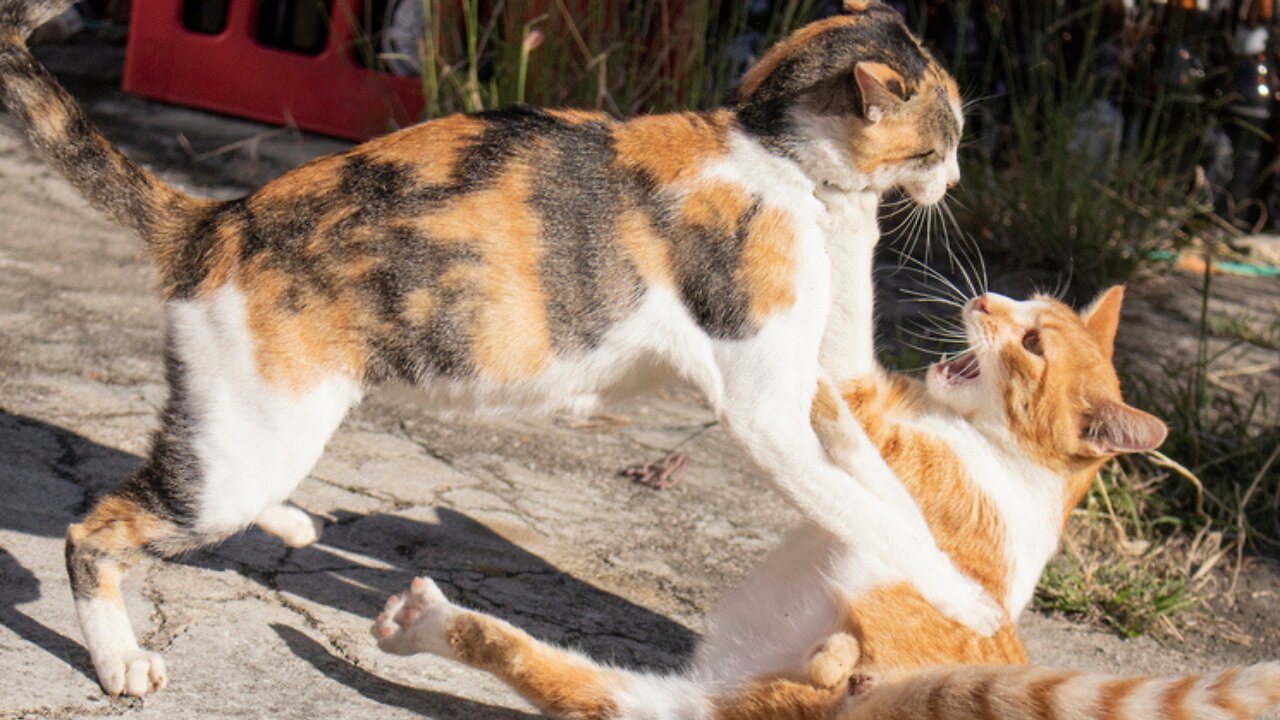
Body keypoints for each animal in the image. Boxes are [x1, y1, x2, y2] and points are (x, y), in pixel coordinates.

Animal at [371, 285, 1280, 717]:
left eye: (1029, 341)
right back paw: (422, 623)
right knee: (565, 679)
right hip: (668, 709)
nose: (984, 300)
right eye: (1026, 305)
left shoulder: (885, 436)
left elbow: (846, 360)